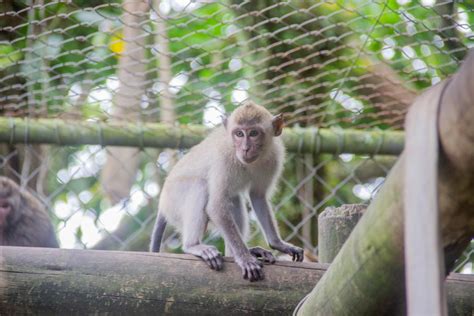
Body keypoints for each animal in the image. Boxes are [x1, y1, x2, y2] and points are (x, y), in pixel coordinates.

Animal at [150, 101, 302, 282]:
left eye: (254, 133)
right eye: (239, 133)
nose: (245, 148)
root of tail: (162, 203)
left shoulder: (273, 158)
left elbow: (258, 196)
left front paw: (278, 243)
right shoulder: (223, 160)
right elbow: (215, 206)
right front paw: (244, 258)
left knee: (234, 199)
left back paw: (238, 252)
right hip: (174, 201)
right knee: (200, 186)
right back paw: (194, 246)